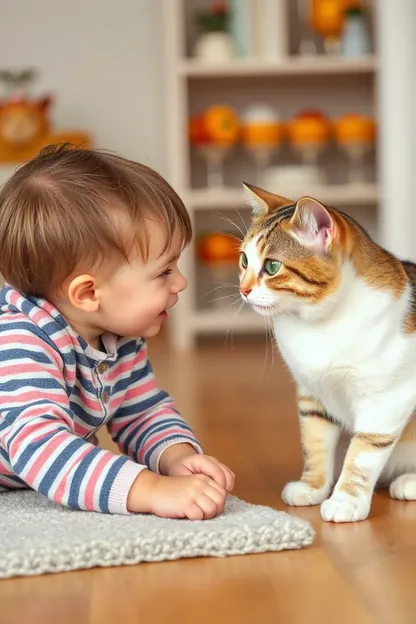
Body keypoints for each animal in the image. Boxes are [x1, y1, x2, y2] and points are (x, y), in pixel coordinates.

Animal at [239, 182, 416, 520]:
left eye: (272, 266)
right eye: (244, 261)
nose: (242, 289)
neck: (319, 324)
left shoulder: (387, 399)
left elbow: (364, 452)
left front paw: (347, 499)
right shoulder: (312, 392)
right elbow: (315, 441)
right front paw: (313, 486)